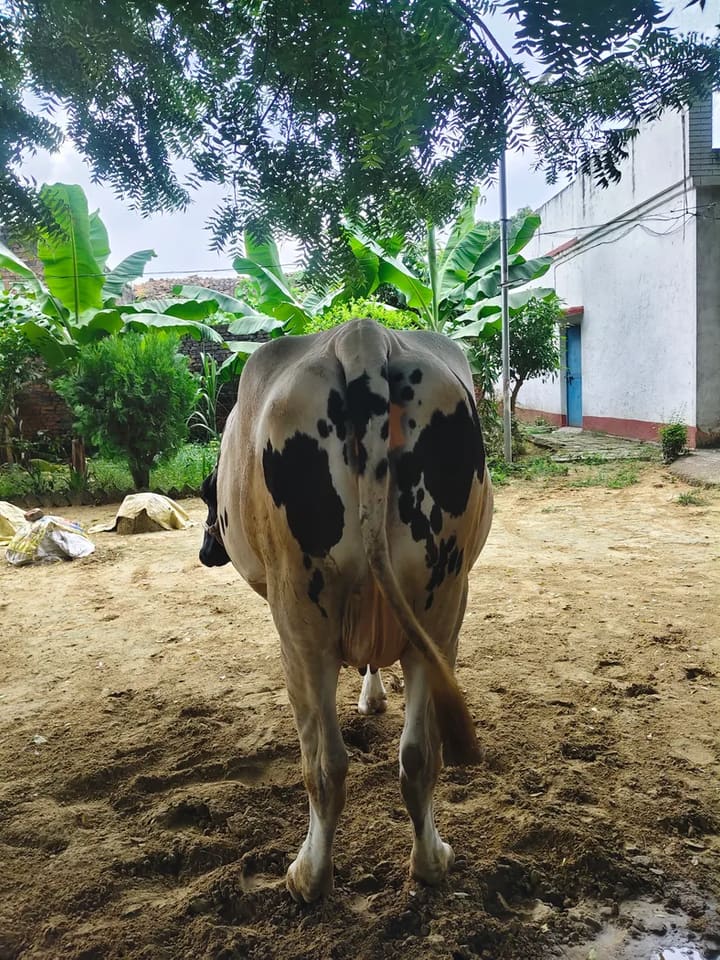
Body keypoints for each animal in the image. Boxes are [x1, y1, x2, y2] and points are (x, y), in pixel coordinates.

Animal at [200, 318, 493, 903]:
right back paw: (431, 862)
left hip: (298, 618)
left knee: (324, 762)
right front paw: (373, 695)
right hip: (443, 600)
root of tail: (361, 335)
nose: (204, 551)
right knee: (419, 753)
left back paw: (308, 877)